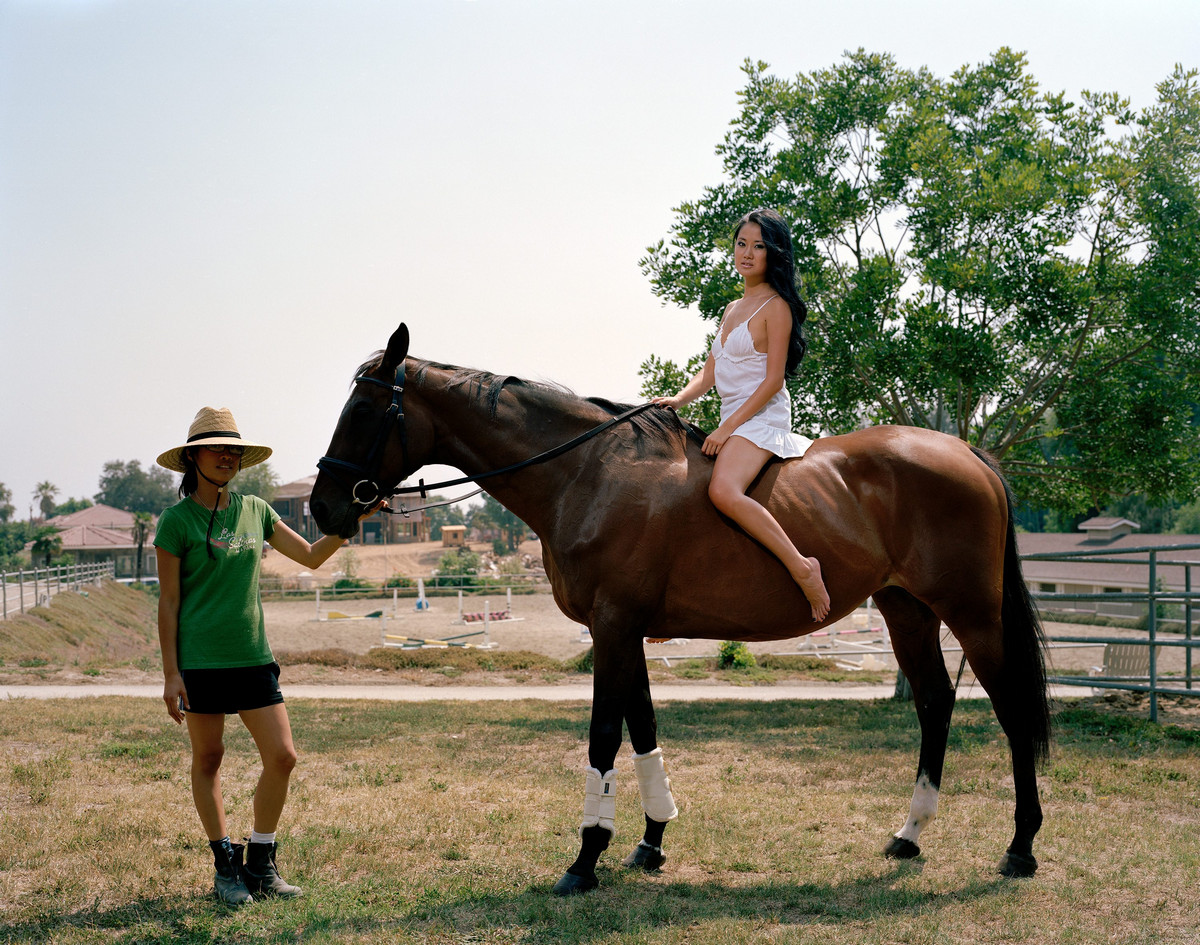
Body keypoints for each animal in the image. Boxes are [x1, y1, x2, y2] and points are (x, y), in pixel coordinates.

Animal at [309, 323, 1051, 892]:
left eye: (367, 412)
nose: (323, 507)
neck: (587, 474)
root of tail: (969, 455)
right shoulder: (626, 630)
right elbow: (643, 729)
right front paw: (650, 841)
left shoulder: (613, 627)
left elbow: (605, 736)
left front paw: (585, 859)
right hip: (906, 610)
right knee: (933, 703)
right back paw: (910, 833)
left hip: (972, 614)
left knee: (1010, 709)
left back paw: (1020, 847)